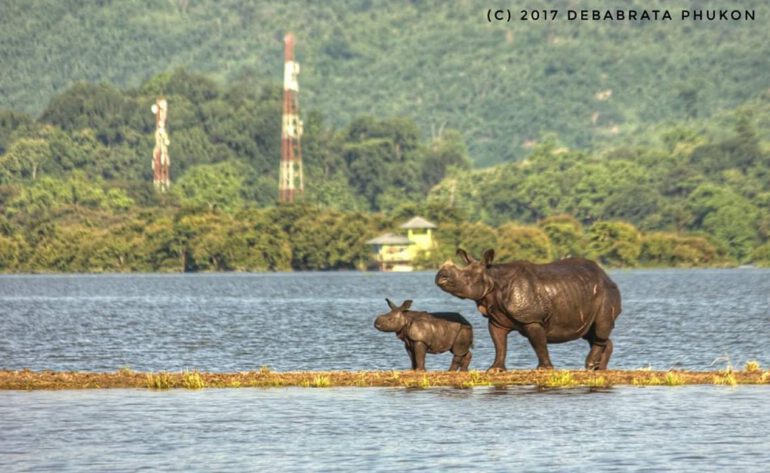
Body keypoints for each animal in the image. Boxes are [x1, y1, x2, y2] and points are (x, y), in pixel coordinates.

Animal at [435, 249, 621, 371]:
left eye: (466, 277)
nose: (439, 277)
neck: (493, 279)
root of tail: (607, 276)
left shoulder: (532, 318)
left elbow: (538, 343)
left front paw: (544, 369)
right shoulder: (496, 319)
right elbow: (499, 344)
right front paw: (494, 369)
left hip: (606, 291)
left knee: (600, 327)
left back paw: (590, 366)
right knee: (591, 332)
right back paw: (599, 369)